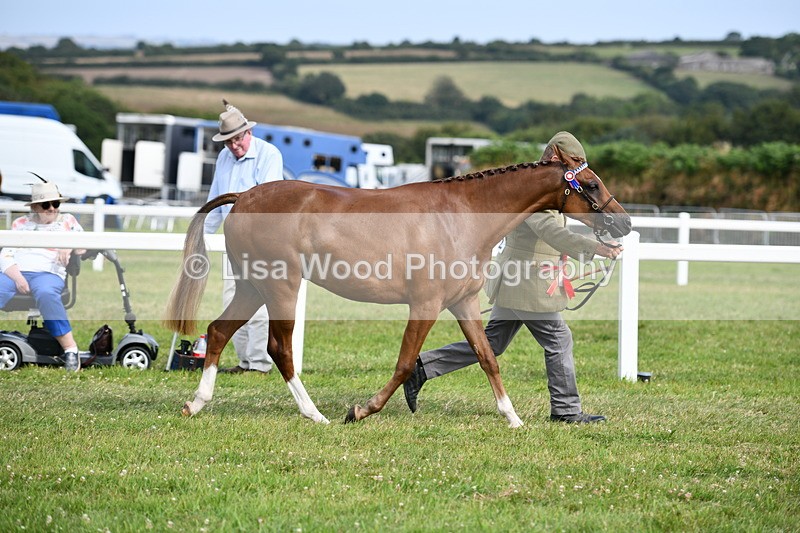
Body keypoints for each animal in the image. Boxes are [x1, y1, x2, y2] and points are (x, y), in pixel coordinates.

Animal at [164, 151, 631, 427]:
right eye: (590, 184)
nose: (624, 222)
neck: (460, 216)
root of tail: (244, 196)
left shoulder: (463, 302)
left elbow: (486, 357)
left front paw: (512, 417)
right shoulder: (425, 304)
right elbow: (407, 363)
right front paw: (361, 409)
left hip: (252, 286)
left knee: (219, 331)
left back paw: (196, 404)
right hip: (280, 286)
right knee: (280, 348)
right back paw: (315, 414)